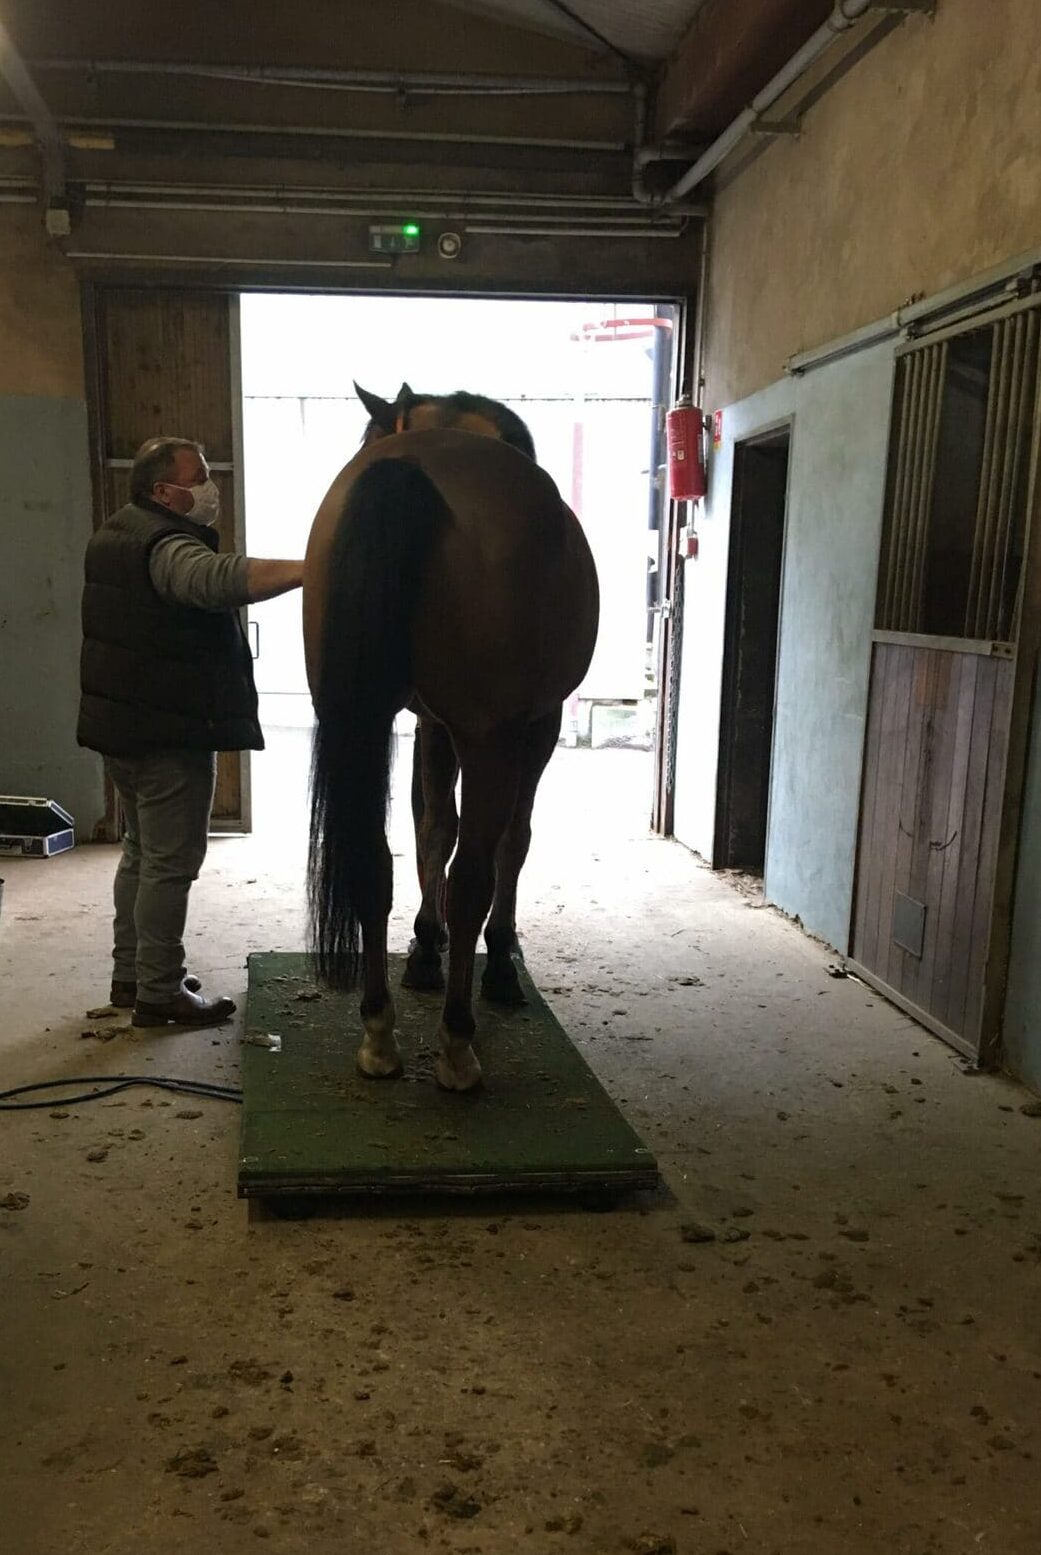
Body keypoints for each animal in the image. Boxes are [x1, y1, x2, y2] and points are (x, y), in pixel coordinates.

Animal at [300, 388, 597, 1094]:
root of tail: (410, 468)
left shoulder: (432, 724)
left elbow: (432, 824)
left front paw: (423, 951)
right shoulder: (533, 725)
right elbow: (509, 843)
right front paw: (501, 961)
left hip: (360, 715)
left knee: (373, 863)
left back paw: (379, 1033)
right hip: (493, 741)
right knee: (472, 878)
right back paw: (458, 1042)